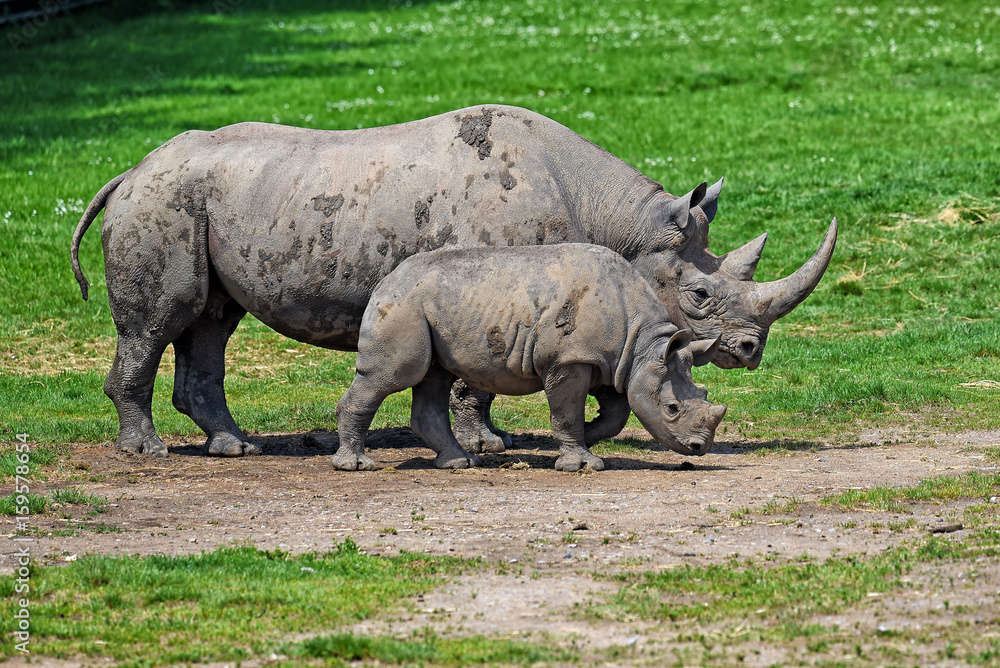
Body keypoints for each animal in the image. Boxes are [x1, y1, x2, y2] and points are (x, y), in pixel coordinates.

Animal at [337, 244, 727, 471]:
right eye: (672, 409)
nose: (700, 447)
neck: (645, 343)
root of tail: (386, 278)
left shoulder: (613, 363)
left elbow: (614, 415)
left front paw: (585, 437)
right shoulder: (569, 359)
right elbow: (567, 411)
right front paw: (582, 464)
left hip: (430, 306)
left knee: (434, 377)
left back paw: (460, 462)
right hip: (403, 304)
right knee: (395, 375)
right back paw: (357, 465)